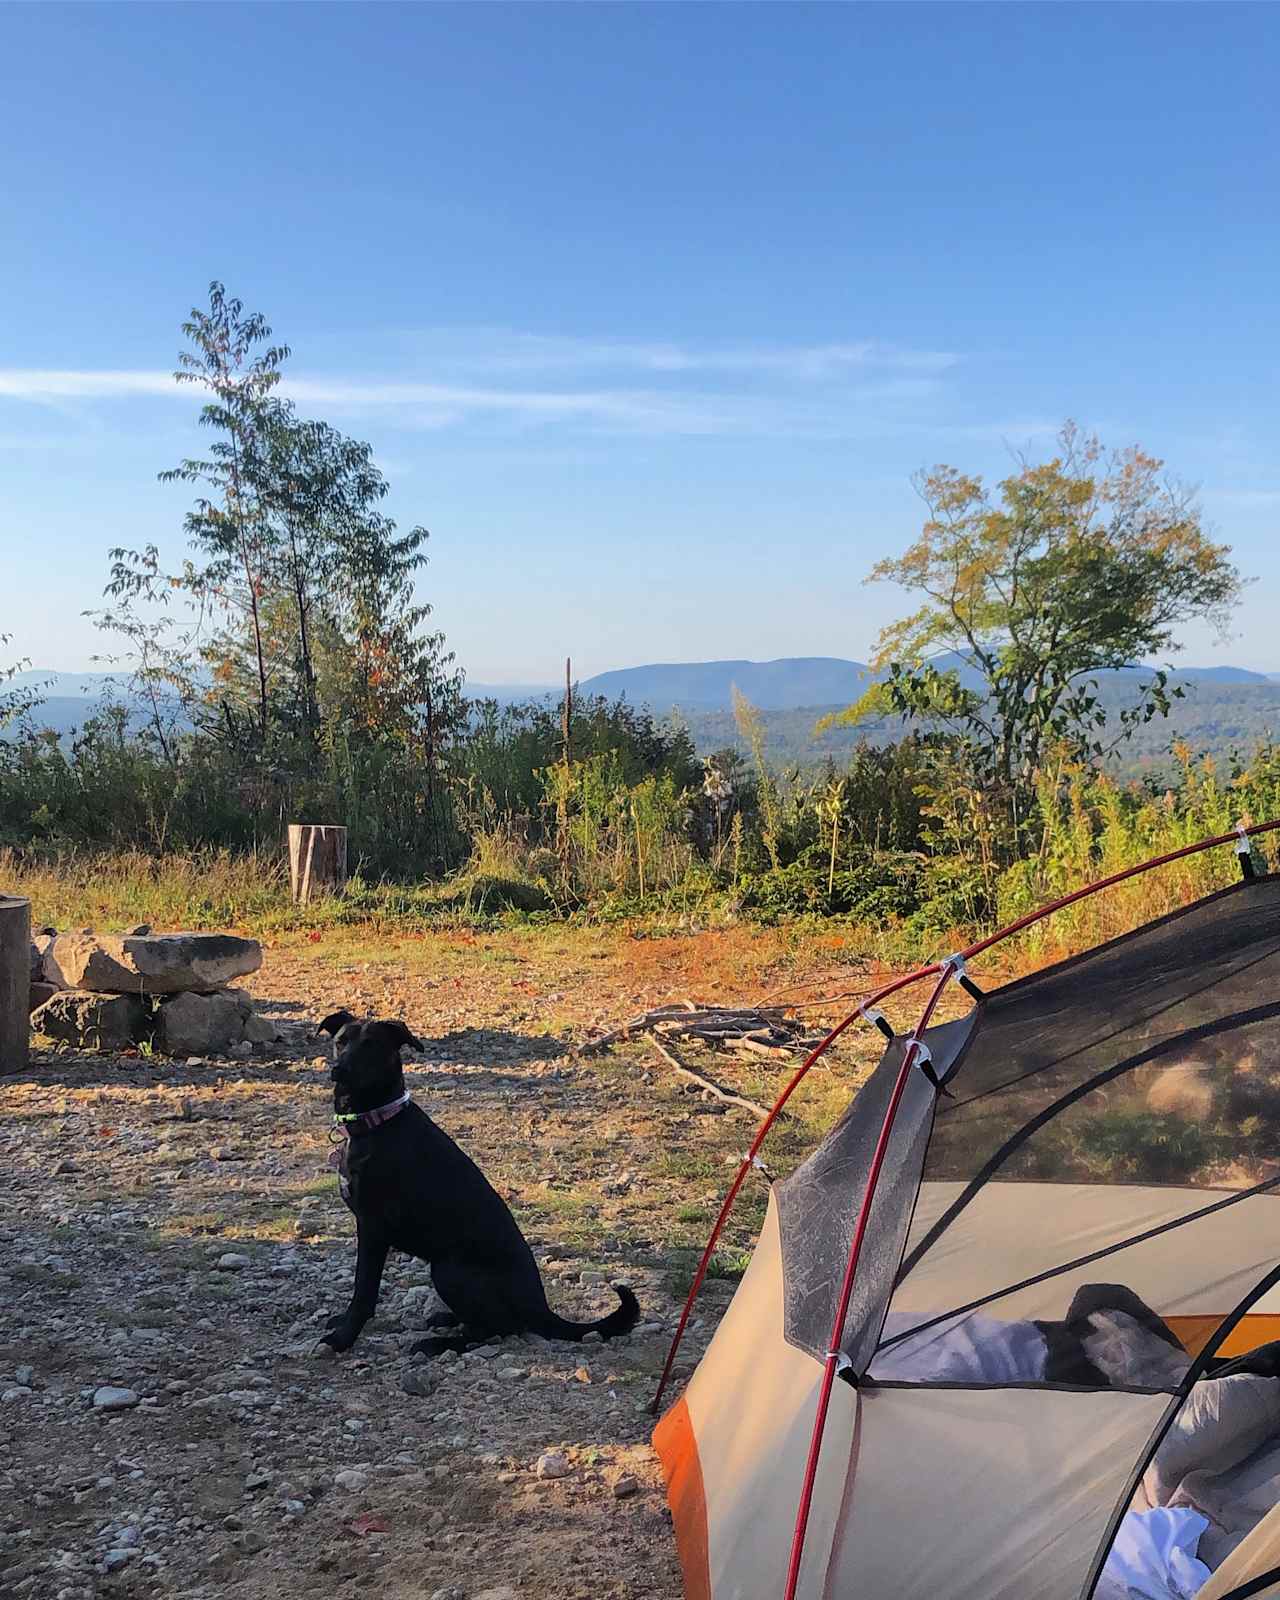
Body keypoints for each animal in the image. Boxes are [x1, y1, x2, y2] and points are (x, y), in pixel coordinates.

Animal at [312, 1011, 640, 1350]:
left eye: (372, 1045)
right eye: (341, 1042)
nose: (339, 1070)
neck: (377, 1121)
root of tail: (540, 1307)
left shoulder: (373, 1228)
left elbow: (363, 1291)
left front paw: (342, 1338)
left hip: (448, 1270)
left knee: (497, 1329)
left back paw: (440, 1344)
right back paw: (446, 1320)